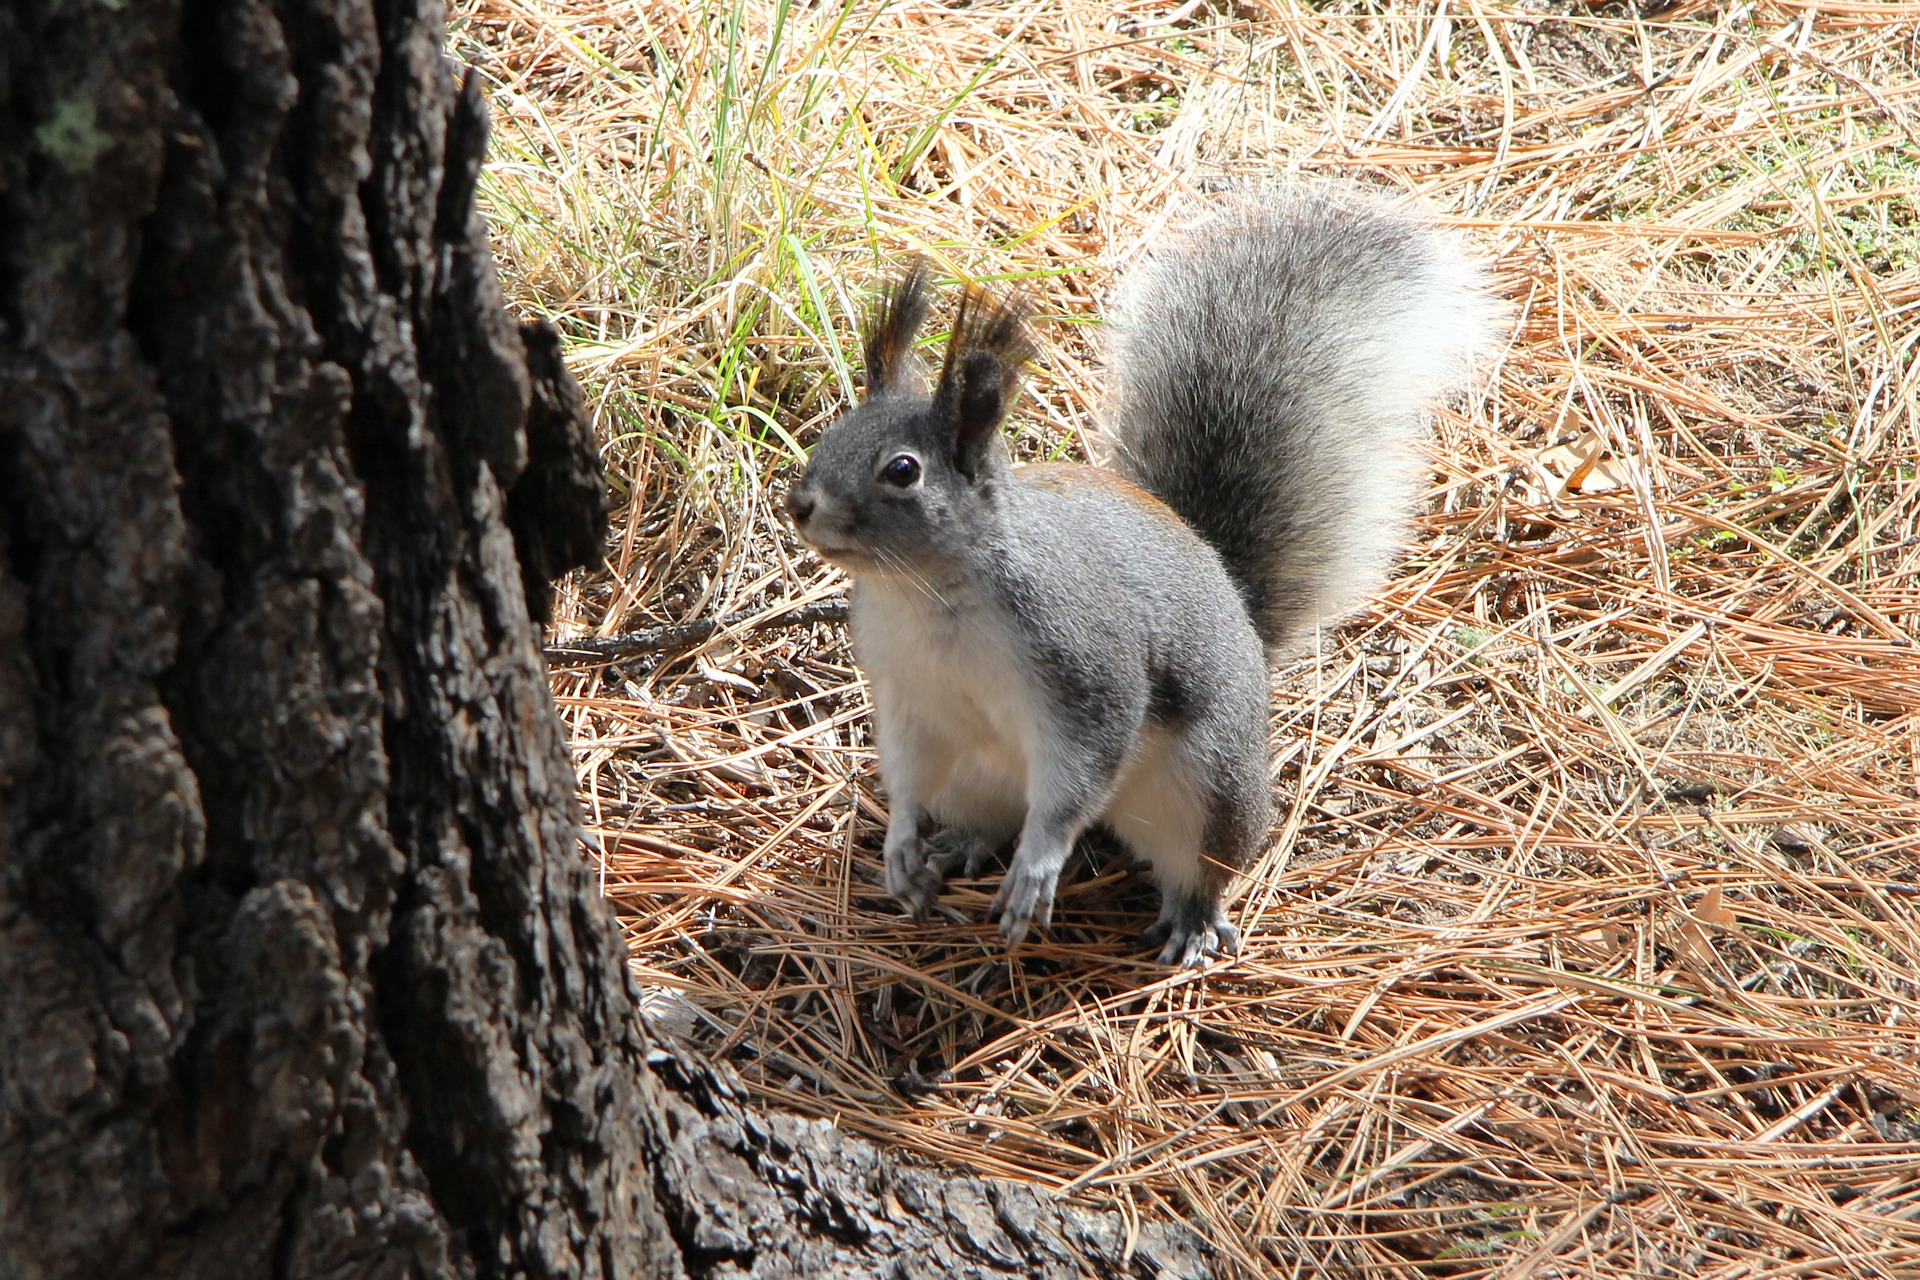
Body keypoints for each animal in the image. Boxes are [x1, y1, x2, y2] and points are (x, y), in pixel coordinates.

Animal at [783, 189, 1497, 967]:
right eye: (830, 435)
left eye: (903, 471)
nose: (800, 504)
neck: (926, 595)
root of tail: (1238, 608)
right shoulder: (908, 694)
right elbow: (906, 771)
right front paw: (900, 846)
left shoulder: (1087, 669)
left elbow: (1079, 778)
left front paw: (1037, 869)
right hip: (974, 774)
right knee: (994, 817)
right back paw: (956, 846)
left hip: (1207, 785)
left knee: (1196, 862)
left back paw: (1190, 918)